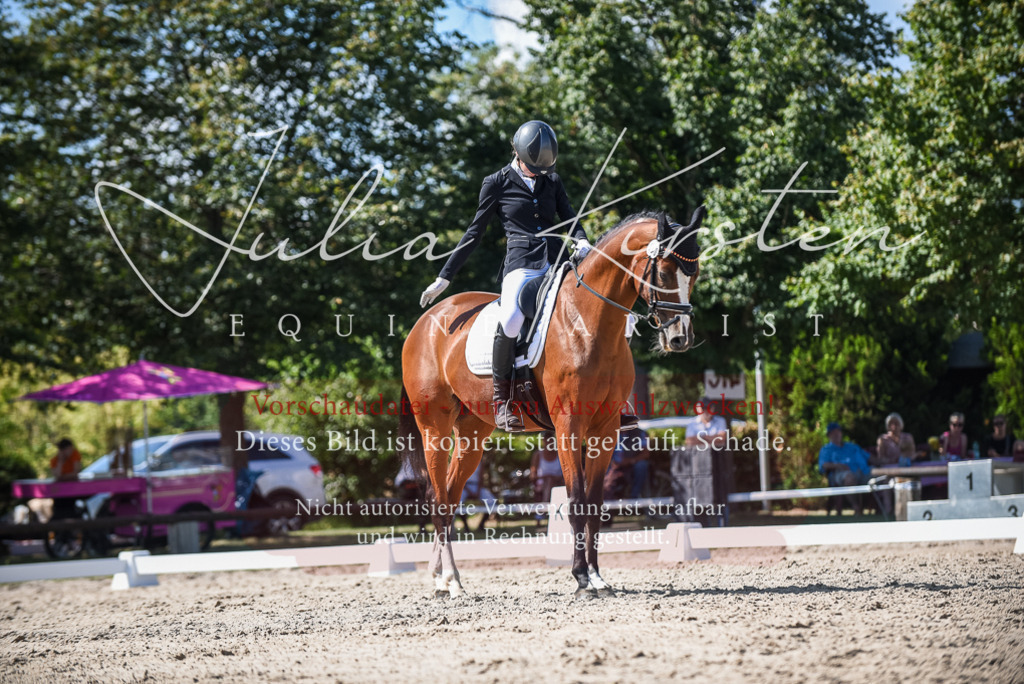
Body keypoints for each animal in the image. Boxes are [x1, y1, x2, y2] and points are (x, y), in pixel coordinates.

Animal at [398, 208, 705, 597]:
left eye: (693, 274)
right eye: (663, 273)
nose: (680, 338)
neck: (589, 323)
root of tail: (425, 321)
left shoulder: (605, 431)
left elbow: (595, 505)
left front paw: (598, 577)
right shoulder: (567, 427)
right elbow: (575, 501)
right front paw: (581, 579)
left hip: (472, 433)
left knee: (451, 498)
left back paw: (446, 580)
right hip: (434, 429)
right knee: (437, 500)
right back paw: (448, 582)